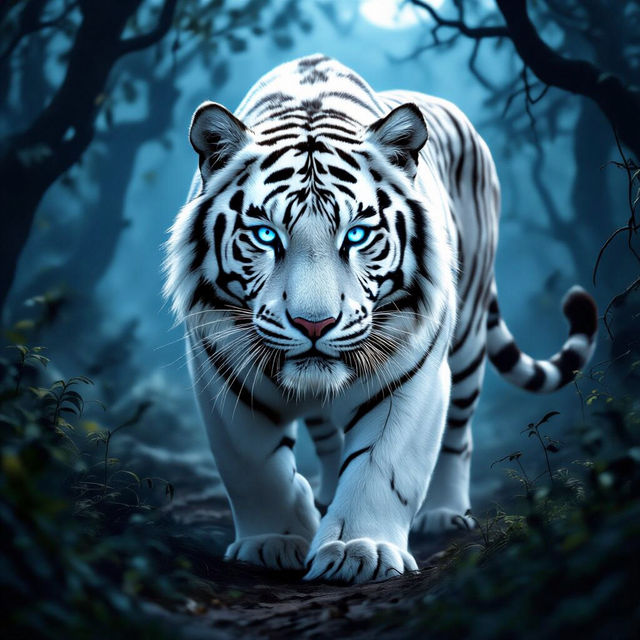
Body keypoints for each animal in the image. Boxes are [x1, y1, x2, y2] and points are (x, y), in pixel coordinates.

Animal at [164, 54, 597, 584]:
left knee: (459, 433)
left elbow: (379, 465)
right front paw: (275, 540)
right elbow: (253, 466)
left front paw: (358, 551)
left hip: (469, 337)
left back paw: (444, 513)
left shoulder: (410, 370)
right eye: (266, 235)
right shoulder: (221, 367)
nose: (314, 324)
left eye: (357, 234)